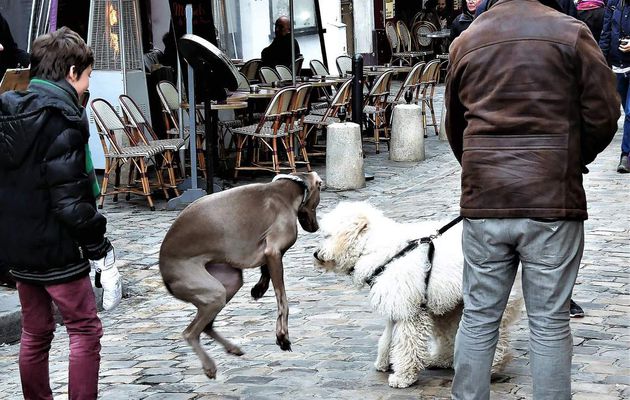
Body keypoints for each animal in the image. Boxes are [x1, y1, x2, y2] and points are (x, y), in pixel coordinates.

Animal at [160, 171, 324, 378]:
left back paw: (232, 348)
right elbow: (283, 301)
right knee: (190, 333)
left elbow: (266, 272)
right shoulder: (274, 252)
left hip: (229, 283)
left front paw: (259, 289)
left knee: (207, 326)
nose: (316, 227)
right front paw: (282, 337)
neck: (289, 190)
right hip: (213, 293)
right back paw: (209, 366)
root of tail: (164, 273)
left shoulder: (271, 254)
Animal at [314, 202, 524, 390]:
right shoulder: (398, 305)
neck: (378, 249)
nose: (316, 254)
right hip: (451, 305)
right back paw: (441, 359)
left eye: (327, 235)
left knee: (496, 338)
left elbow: (407, 345)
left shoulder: (410, 312)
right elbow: (388, 337)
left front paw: (402, 376)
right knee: (449, 334)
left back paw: (493, 367)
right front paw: (384, 362)